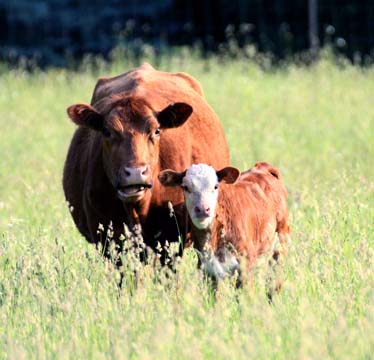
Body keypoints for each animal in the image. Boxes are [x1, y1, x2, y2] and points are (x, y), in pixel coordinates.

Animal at [159, 162, 290, 296]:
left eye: (215, 186)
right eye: (185, 187)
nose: (203, 209)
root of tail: (262, 166)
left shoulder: (246, 265)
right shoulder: (210, 271)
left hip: (281, 244)